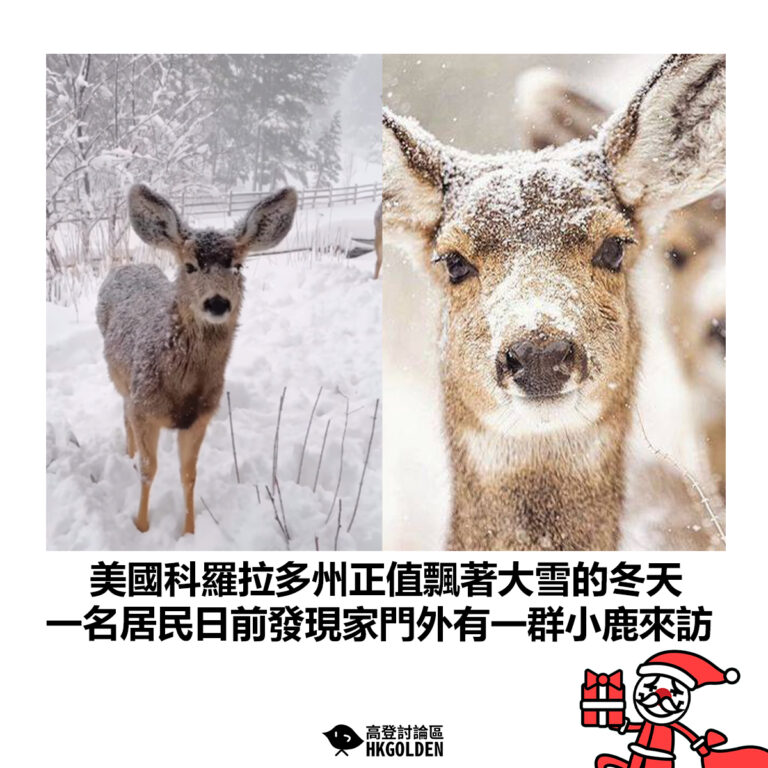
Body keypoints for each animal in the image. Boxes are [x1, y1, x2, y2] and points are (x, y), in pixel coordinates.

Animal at [96, 184, 298, 535]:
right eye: (190, 266)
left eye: (238, 266)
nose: (217, 302)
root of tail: (127, 266)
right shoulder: (143, 405)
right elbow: (148, 470)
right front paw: (141, 526)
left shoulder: (202, 416)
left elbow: (189, 475)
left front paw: (189, 531)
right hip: (121, 381)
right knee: (124, 416)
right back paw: (128, 455)